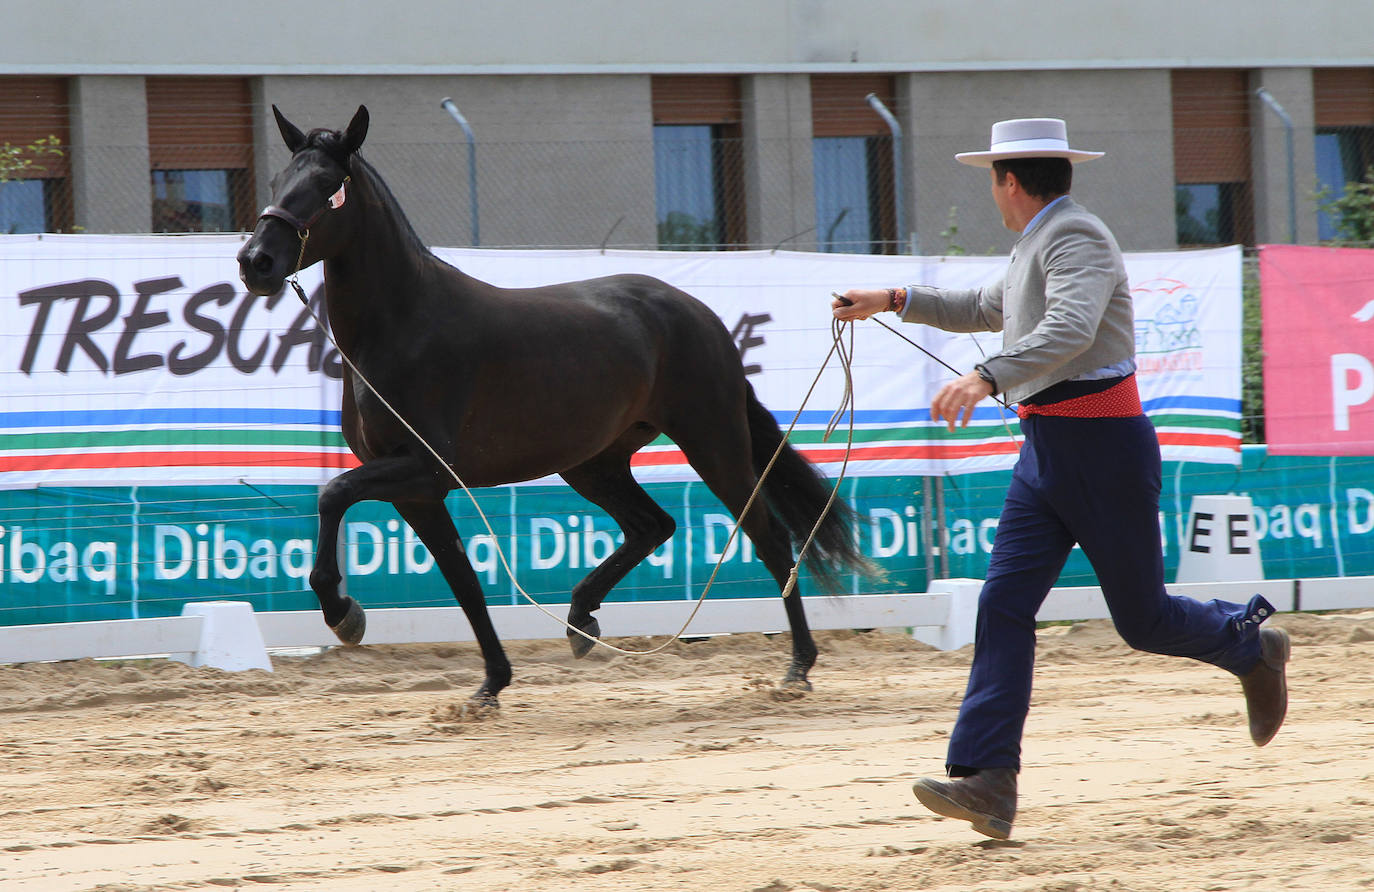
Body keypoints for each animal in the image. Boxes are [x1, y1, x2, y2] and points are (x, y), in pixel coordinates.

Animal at [239, 104, 868, 703]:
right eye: (276, 180)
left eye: (327, 184)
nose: (255, 262)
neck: (401, 328)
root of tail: (704, 317)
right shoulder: (417, 489)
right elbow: (461, 578)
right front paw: (490, 684)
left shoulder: (422, 469)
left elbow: (333, 494)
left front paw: (343, 613)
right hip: (593, 463)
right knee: (653, 525)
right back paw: (581, 617)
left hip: (713, 444)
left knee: (769, 537)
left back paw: (798, 669)